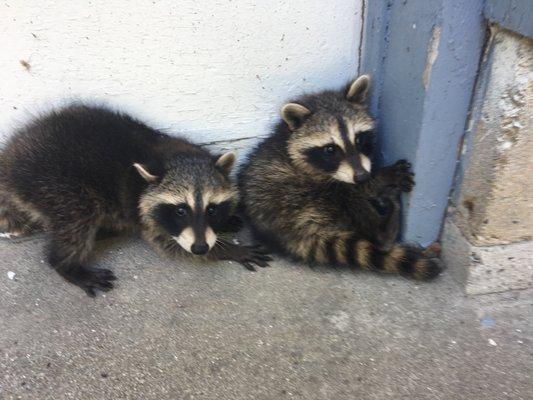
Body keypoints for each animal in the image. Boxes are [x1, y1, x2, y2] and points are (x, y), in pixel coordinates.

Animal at [0, 104, 270, 296]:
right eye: (180, 211)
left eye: (212, 209)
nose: (202, 247)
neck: (175, 155)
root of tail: (9, 163)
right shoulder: (141, 209)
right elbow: (168, 243)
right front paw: (229, 250)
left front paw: (224, 223)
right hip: (54, 184)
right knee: (78, 219)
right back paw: (68, 265)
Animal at [237, 76, 440, 282]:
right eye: (330, 149)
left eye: (359, 139)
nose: (362, 176)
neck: (288, 136)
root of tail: (287, 236)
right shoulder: (307, 175)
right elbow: (352, 188)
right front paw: (382, 176)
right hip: (296, 198)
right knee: (346, 198)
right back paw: (385, 227)